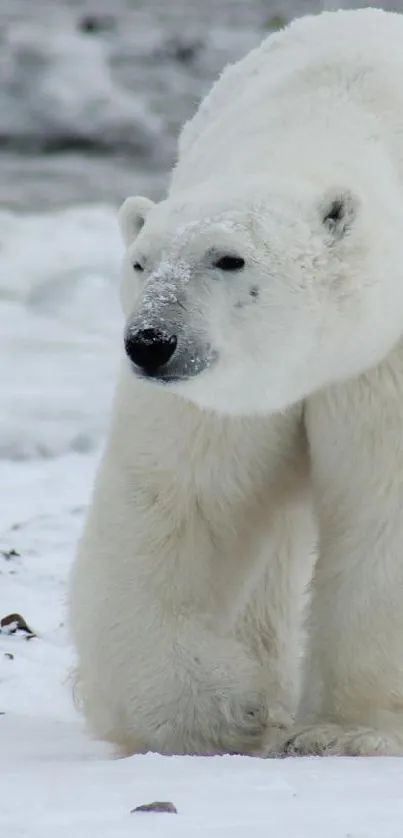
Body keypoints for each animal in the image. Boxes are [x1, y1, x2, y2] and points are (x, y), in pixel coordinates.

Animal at [71, 6, 403, 756]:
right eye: (141, 262)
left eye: (229, 258)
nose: (150, 343)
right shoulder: (222, 399)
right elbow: (181, 504)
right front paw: (222, 710)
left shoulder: (380, 364)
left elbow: (385, 517)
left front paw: (343, 731)